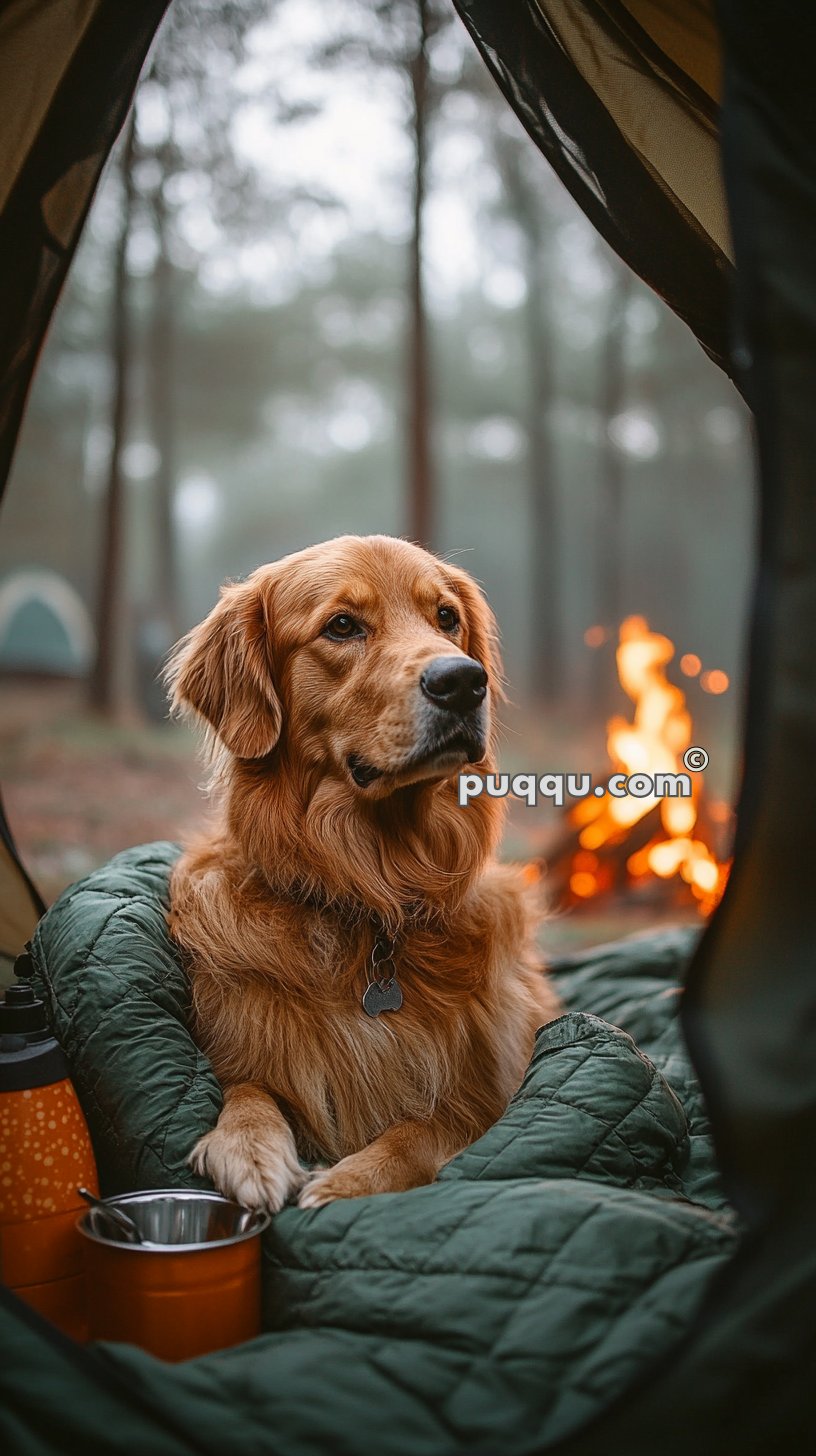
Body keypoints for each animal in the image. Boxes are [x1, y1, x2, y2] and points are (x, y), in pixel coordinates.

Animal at [166, 532, 559, 1205]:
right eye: (342, 626)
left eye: (446, 617)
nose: (463, 681)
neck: (377, 892)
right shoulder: (245, 1047)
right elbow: (248, 1090)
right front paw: (249, 1149)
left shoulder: (494, 1094)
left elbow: (429, 1127)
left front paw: (348, 1180)